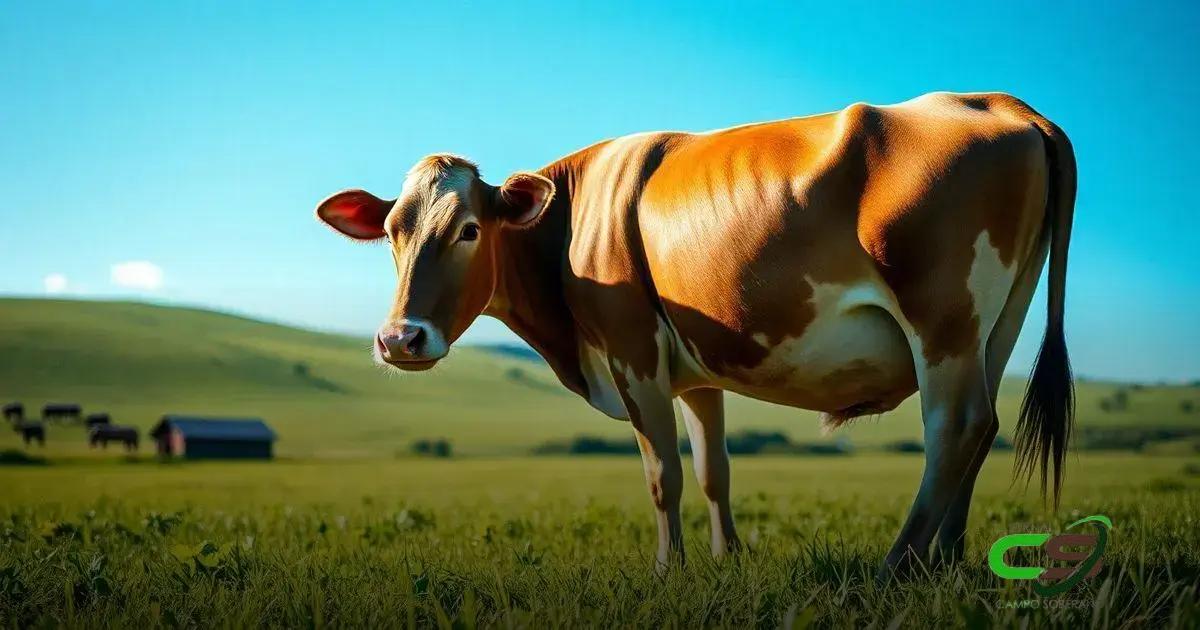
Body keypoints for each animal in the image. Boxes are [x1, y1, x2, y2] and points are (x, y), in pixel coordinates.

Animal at [315, 92, 1075, 577]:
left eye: (470, 229)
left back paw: (898, 566)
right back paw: (946, 560)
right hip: (996, 325)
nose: (399, 340)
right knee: (982, 429)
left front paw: (666, 569)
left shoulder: (632, 352)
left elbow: (663, 474)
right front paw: (726, 558)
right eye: (392, 231)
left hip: (943, 320)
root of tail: (1005, 104)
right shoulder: (697, 372)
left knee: (955, 426)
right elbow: (715, 469)